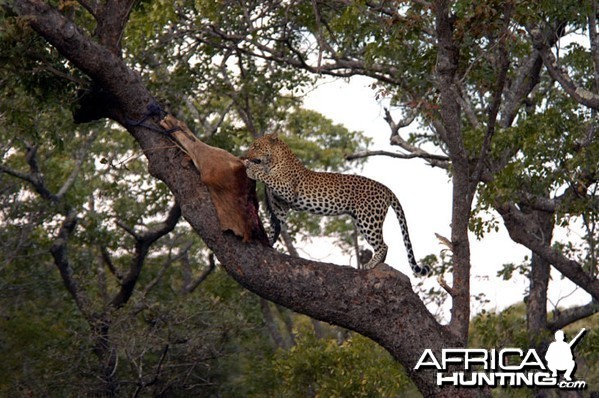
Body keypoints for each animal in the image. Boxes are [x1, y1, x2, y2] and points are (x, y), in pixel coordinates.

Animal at [244, 134, 432, 276]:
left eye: (256, 146)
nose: (245, 155)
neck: (274, 161)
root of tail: (385, 188)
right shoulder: (280, 207)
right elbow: (275, 226)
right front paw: (268, 241)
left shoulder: (288, 189)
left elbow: (269, 178)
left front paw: (251, 168)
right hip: (362, 219)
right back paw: (377, 265)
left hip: (368, 219)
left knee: (383, 245)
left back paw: (370, 264)